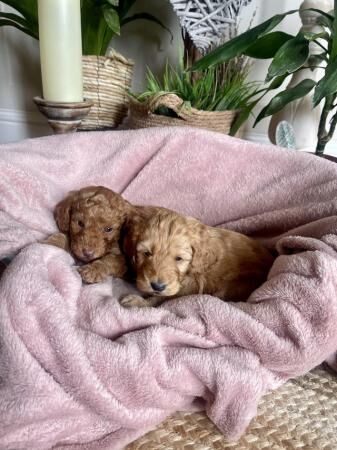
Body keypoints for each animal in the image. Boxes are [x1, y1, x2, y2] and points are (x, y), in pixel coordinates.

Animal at [119, 209, 274, 308]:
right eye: (146, 253)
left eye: (179, 259)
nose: (157, 286)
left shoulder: (192, 284)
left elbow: (162, 298)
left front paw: (139, 302)